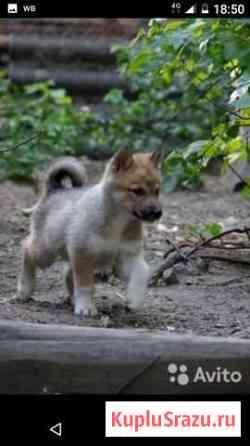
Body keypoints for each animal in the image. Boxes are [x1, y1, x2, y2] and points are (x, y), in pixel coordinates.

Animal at [16, 151, 163, 318]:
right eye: (137, 191)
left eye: (157, 191)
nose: (158, 213)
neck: (119, 223)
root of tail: (55, 189)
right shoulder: (82, 254)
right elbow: (85, 285)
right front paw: (86, 307)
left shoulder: (126, 258)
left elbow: (142, 271)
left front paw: (135, 299)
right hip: (45, 253)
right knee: (26, 249)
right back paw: (25, 289)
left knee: (67, 274)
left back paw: (72, 299)